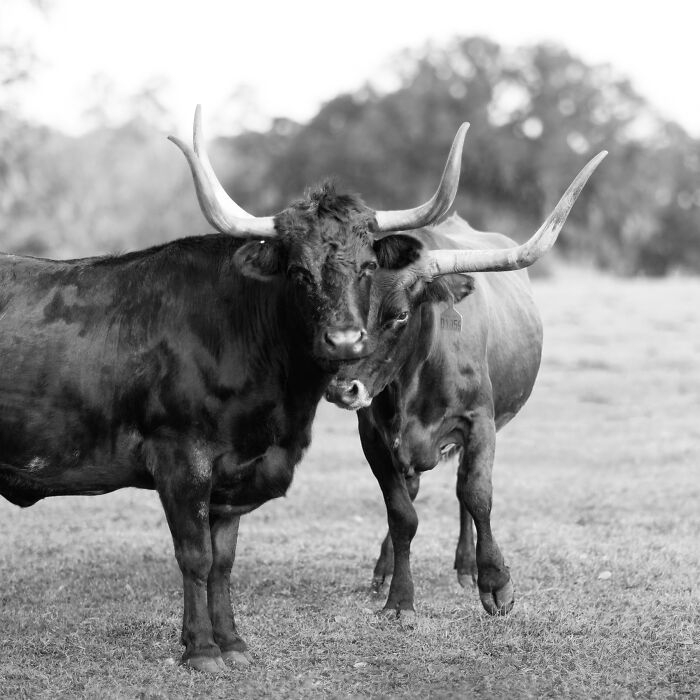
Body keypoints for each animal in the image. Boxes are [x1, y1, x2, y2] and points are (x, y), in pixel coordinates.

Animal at [0, 106, 470, 672]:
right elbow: (195, 557)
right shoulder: (181, 460)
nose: (344, 340)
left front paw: (231, 642)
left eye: (368, 266)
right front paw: (202, 651)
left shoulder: (235, 475)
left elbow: (223, 562)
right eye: (298, 271)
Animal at [324, 152, 606, 623]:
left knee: (461, 487)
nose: (343, 390)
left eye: (400, 314)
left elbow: (476, 494)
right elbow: (401, 513)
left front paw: (495, 583)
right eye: (339, 305)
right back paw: (387, 566)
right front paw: (399, 598)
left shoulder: (480, 423)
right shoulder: (374, 436)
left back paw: (466, 566)